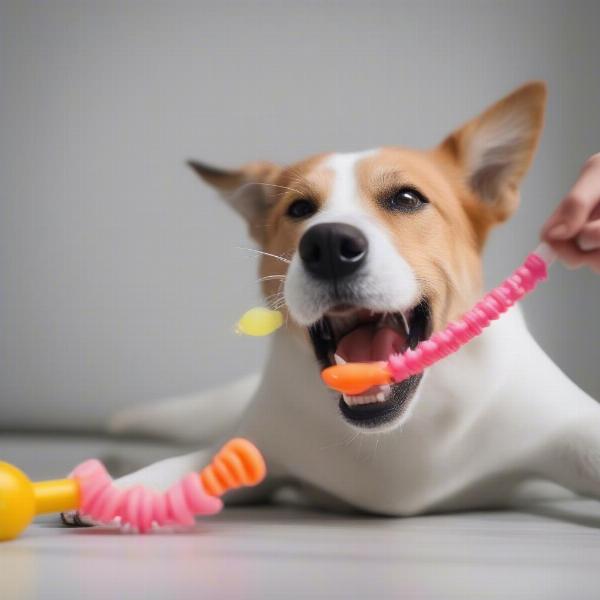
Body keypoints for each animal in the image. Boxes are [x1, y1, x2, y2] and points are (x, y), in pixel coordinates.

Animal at [64, 81, 600, 524]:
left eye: (407, 199)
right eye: (299, 208)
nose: (328, 246)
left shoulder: (562, 429)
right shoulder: (261, 444)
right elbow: (195, 463)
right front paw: (121, 490)